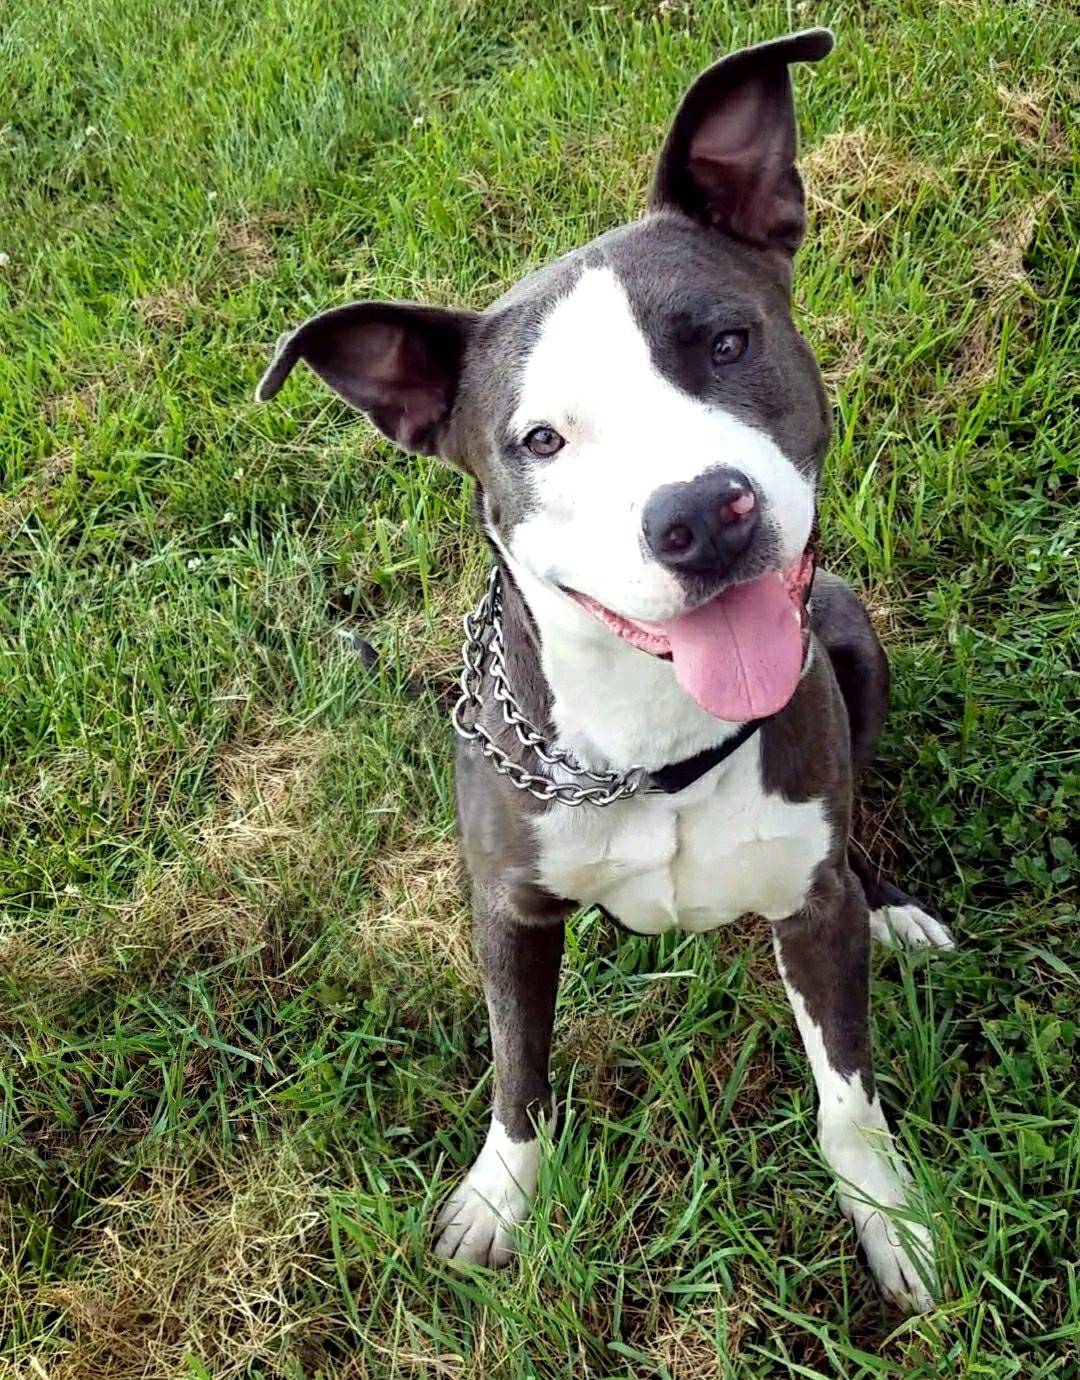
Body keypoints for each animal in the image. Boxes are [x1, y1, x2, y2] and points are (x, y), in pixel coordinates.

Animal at [259, 26, 954, 1308]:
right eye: (539, 440)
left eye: (727, 340)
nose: (701, 516)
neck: (654, 746)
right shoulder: (510, 912)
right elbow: (516, 1071)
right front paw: (498, 1200)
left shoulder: (807, 912)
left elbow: (846, 1100)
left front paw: (892, 1218)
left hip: (851, 635)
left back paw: (893, 909)